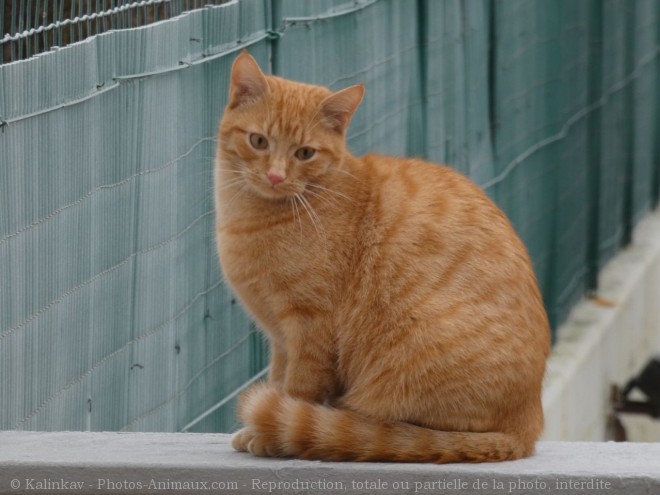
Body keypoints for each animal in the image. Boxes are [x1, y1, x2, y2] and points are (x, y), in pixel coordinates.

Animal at [214, 52, 548, 464]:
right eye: (258, 141)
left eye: (305, 153)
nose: (275, 176)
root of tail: (528, 427)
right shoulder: (279, 338)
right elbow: (277, 381)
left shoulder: (310, 326)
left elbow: (295, 392)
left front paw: (268, 434)